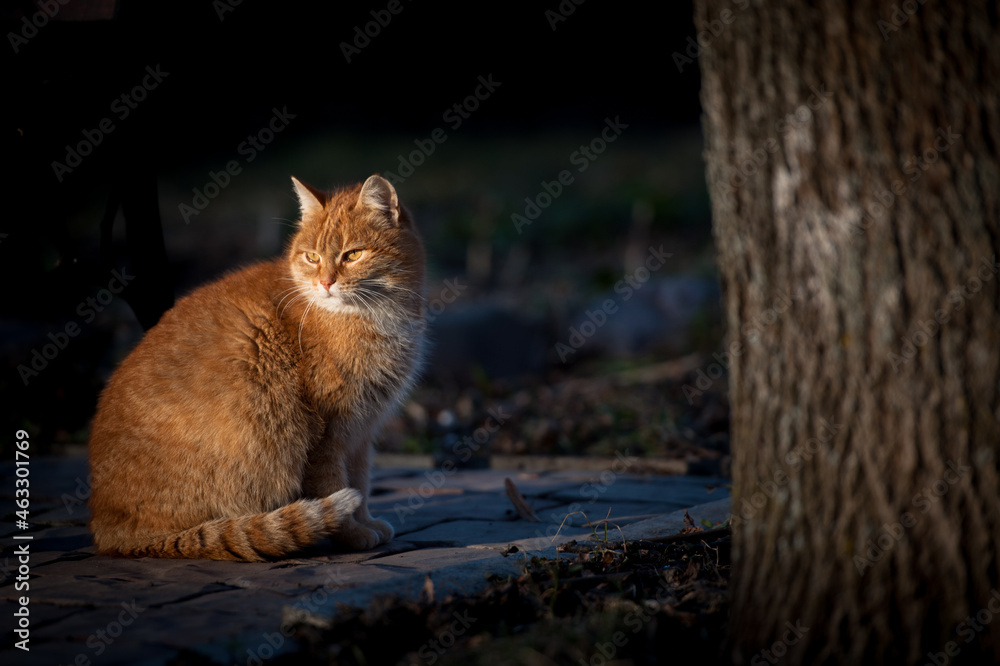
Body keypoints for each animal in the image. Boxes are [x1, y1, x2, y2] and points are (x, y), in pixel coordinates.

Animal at [87, 174, 426, 556]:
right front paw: (352, 534)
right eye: (312, 257)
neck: (375, 318)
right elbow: (336, 486)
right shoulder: (328, 434)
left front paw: (367, 523)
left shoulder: (361, 434)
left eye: (353, 254)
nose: (325, 283)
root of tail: (105, 526)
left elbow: (362, 484)